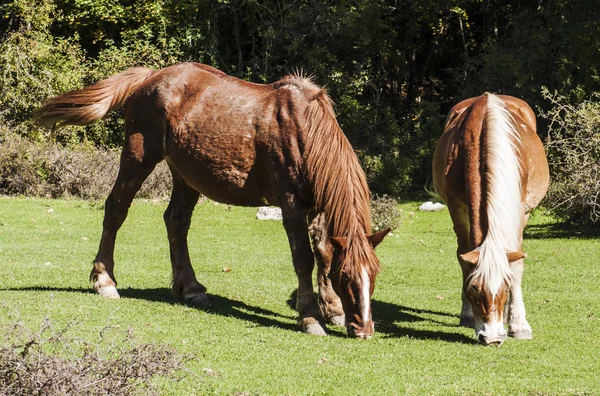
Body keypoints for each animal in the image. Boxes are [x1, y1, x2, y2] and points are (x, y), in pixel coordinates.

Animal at [38, 62, 394, 338]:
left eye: (374, 276)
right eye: (347, 277)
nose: (364, 330)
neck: (304, 132)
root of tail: (151, 77)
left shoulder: (319, 207)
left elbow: (323, 252)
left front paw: (332, 309)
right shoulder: (292, 204)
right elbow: (304, 258)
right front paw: (310, 318)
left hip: (185, 175)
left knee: (176, 221)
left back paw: (191, 288)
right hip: (139, 157)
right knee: (116, 210)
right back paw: (105, 281)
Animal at [432, 93, 548, 346]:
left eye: (506, 286)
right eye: (474, 288)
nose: (492, 337)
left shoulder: (520, 211)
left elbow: (516, 263)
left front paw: (519, 324)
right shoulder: (457, 208)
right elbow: (464, 257)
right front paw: (468, 315)